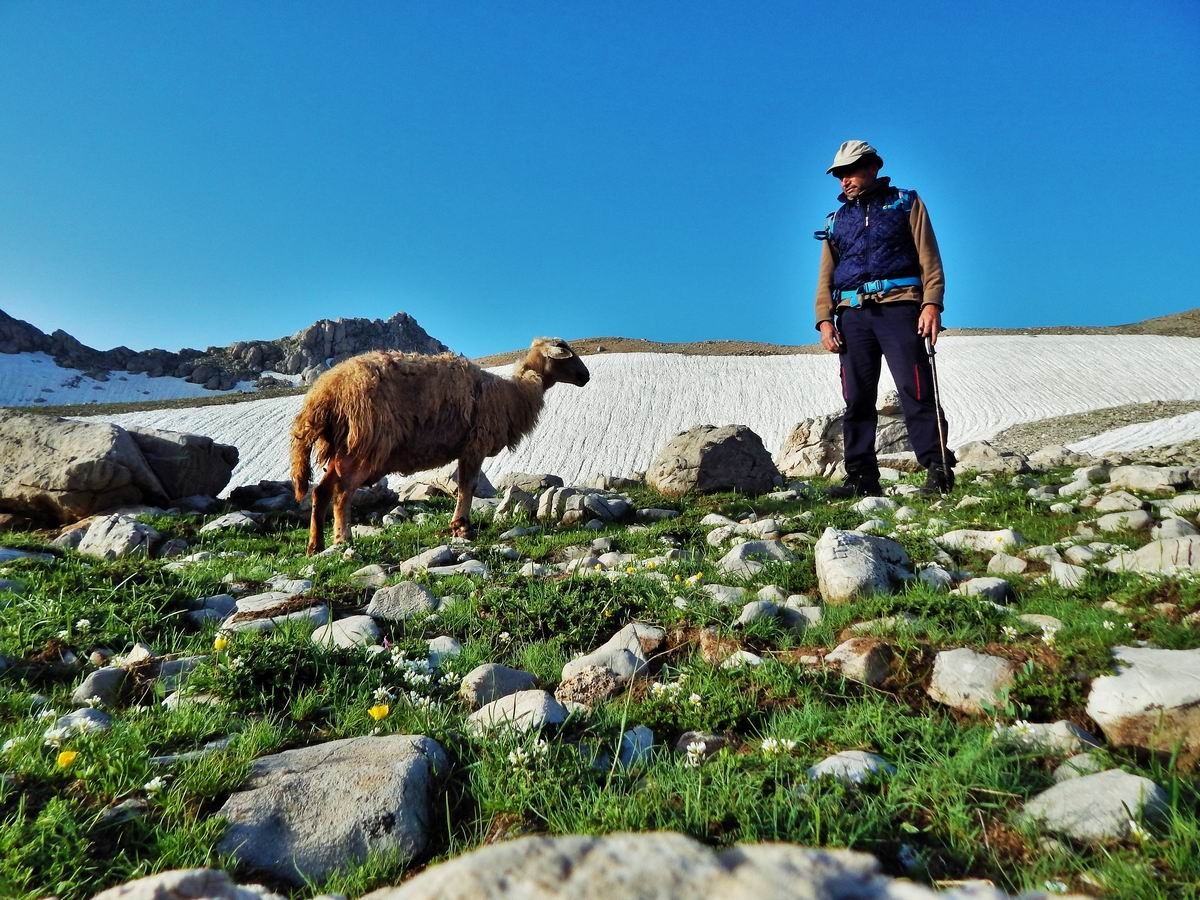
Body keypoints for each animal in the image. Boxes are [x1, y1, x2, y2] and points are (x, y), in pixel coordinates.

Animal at [290, 336, 590, 554]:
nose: (586, 377)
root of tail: (323, 393)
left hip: (344, 448)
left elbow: (464, 487)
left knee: (321, 492)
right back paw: (343, 540)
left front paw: (459, 525)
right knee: (342, 493)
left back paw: (315, 546)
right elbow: (467, 486)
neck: (512, 394)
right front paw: (462, 527)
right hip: (364, 445)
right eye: (565, 349)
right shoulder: (475, 445)